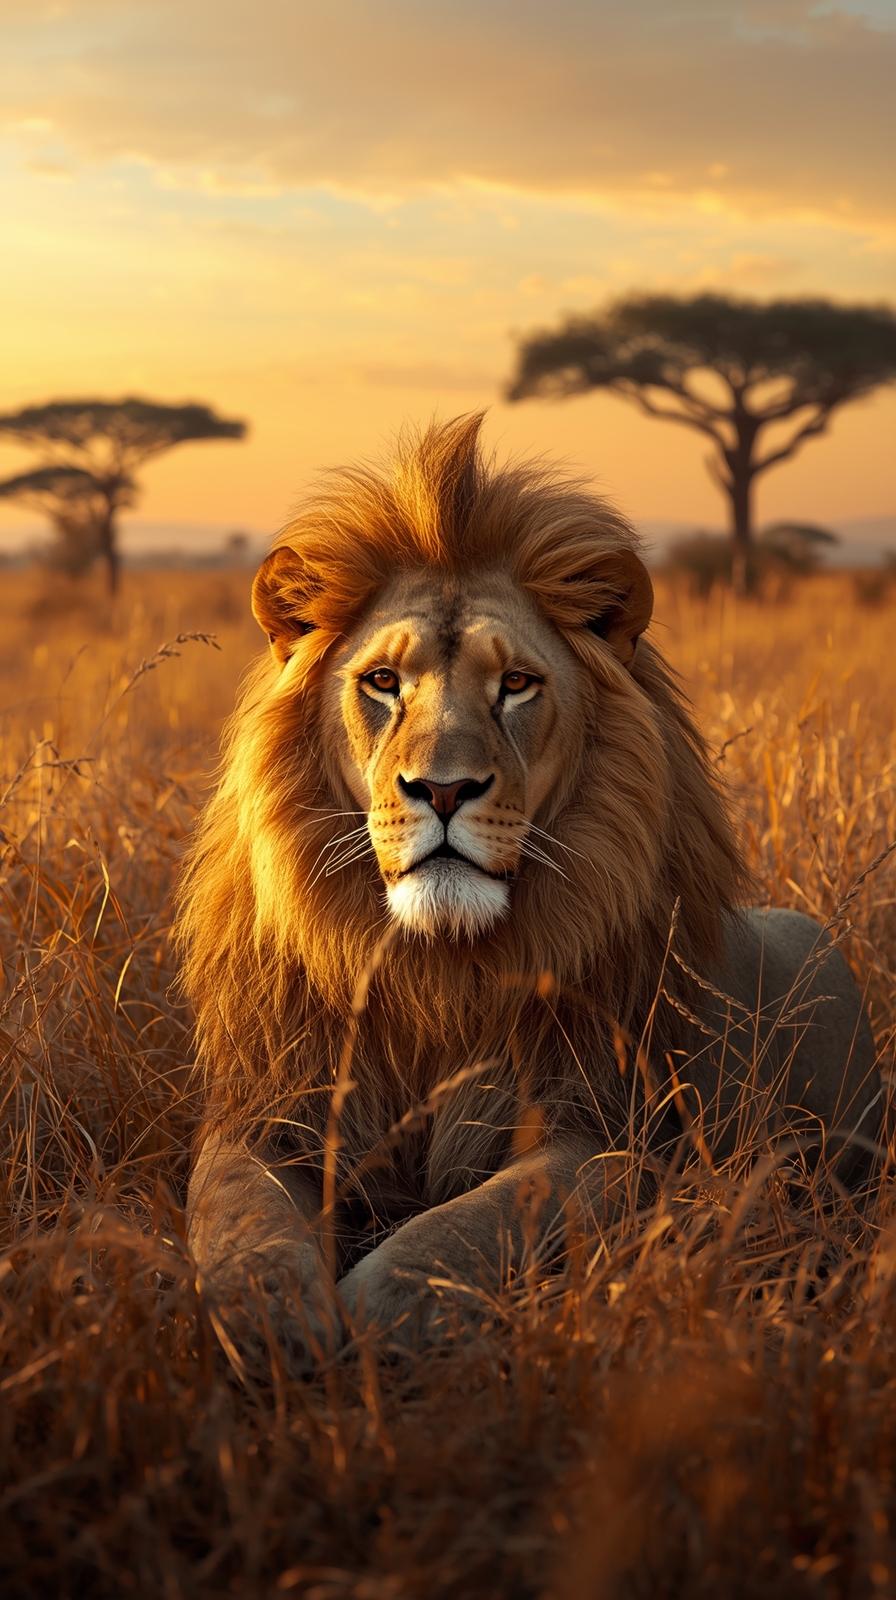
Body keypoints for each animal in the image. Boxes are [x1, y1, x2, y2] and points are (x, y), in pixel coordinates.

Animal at [178, 413, 881, 1357]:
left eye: (515, 684)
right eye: (382, 683)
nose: (442, 790)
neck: (436, 967)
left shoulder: (607, 1129)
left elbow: (473, 1222)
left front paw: (383, 1303)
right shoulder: (268, 1112)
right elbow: (237, 1215)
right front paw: (271, 1318)